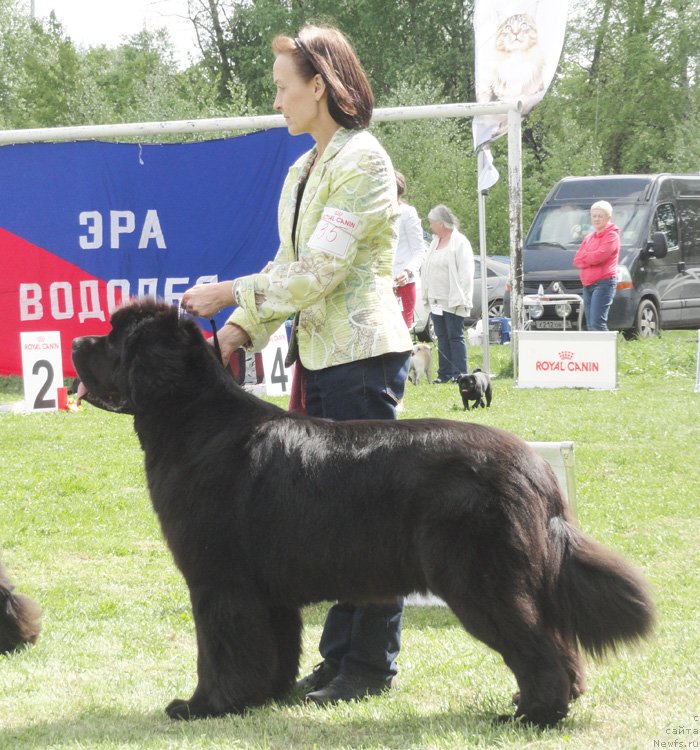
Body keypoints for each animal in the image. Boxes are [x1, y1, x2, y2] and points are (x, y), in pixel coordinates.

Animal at [71, 300, 652, 728]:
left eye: (114, 339)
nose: (76, 343)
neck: (194, 422)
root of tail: (536, 469)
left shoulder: (219, 582)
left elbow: (220, 651)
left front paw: (204, 706)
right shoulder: (266, 591)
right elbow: (272, 650)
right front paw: (264, 697)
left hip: (478, 579)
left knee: (537, 644)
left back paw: (534, 714)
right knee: (556, 641)